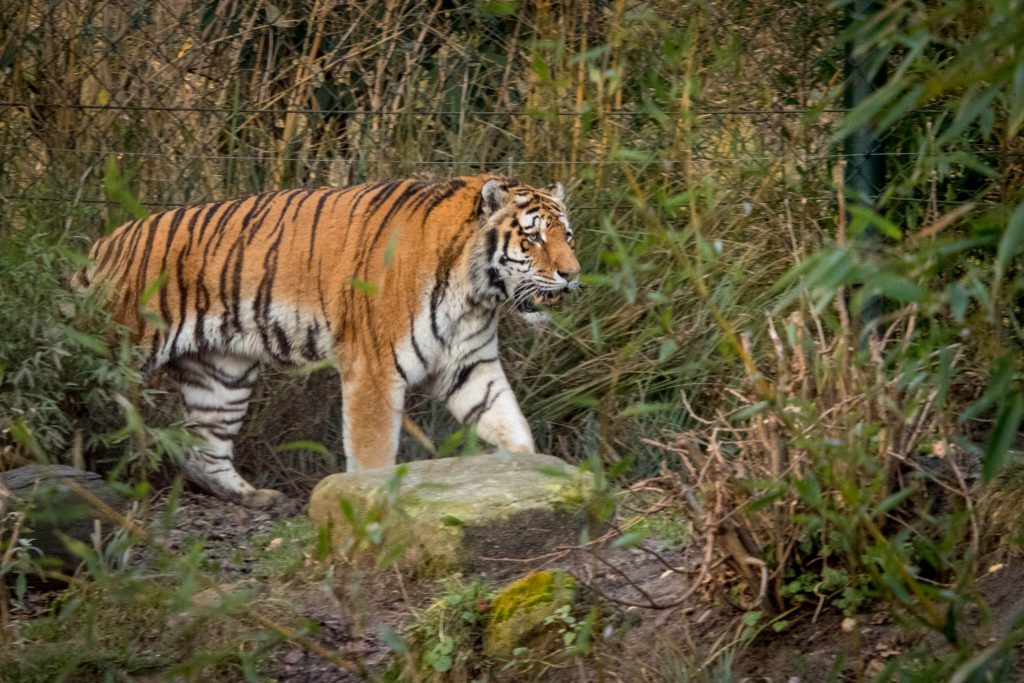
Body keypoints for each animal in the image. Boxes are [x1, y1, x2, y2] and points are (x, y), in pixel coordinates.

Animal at [74, 176, 577, 507]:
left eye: (567, 235)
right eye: (532, 237)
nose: (572, 274)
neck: (475, 293)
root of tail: (105, 244)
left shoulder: (469, 366)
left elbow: (510, 424)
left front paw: (532, 478)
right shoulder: (374, 370)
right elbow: (373, 454)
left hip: (221, 374)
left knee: (203, 450)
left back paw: (254, 497)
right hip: (116, 349)